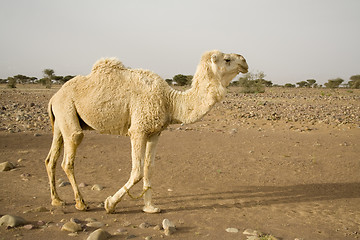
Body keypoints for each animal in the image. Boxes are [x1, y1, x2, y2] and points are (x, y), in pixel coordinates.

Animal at [44, 49, 248, 213]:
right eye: (227, 59)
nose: (244, 61)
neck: (170, 101)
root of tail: (54, 97)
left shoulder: (155, 132)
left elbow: (149, 168)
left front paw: (150, 207)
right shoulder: (137, 130)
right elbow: (137, 171)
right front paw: (110, 204)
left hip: (61, 118)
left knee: (51, 158)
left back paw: (57, 200)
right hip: (67, 110)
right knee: (69, 155)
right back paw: (81, 203)